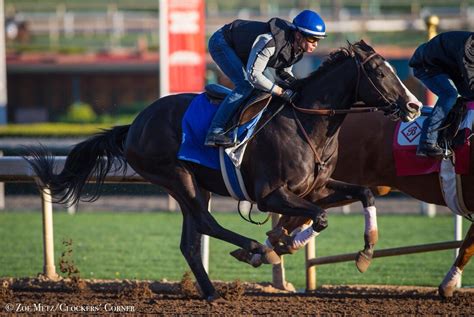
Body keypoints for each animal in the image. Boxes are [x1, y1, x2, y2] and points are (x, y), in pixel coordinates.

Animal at [24, 40, 420, 300]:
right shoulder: (271, 195)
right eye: (379, 71)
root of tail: (135, 124)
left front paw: (365, 252)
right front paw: (277, 244)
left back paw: (212, 291)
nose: (414, 106)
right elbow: (318, 218)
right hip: (176, 176)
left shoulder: (316, 187)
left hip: (194, 184)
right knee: (205, 223)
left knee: (190, 239)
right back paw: (252, 250)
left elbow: (363, 193)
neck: (307, 123)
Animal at [268, 107, 472, 298]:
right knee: (290, 217)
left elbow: (467, 246)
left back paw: (278, 245)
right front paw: (448, 285)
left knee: (293, 219)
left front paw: (448, 285)